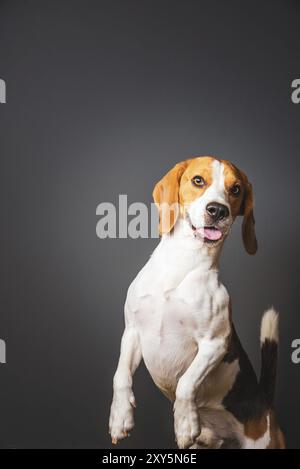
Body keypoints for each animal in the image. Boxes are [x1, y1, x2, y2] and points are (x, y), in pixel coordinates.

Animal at [109, 156, 284, 446]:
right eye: (198, 180)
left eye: (235, 189)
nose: (218, 210)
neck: (183, 261)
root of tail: (265, 403)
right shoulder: (132, 331)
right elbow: (120, 376)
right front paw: (120, 417)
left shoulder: (215, 343)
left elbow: (186, 383)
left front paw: (185, 423)